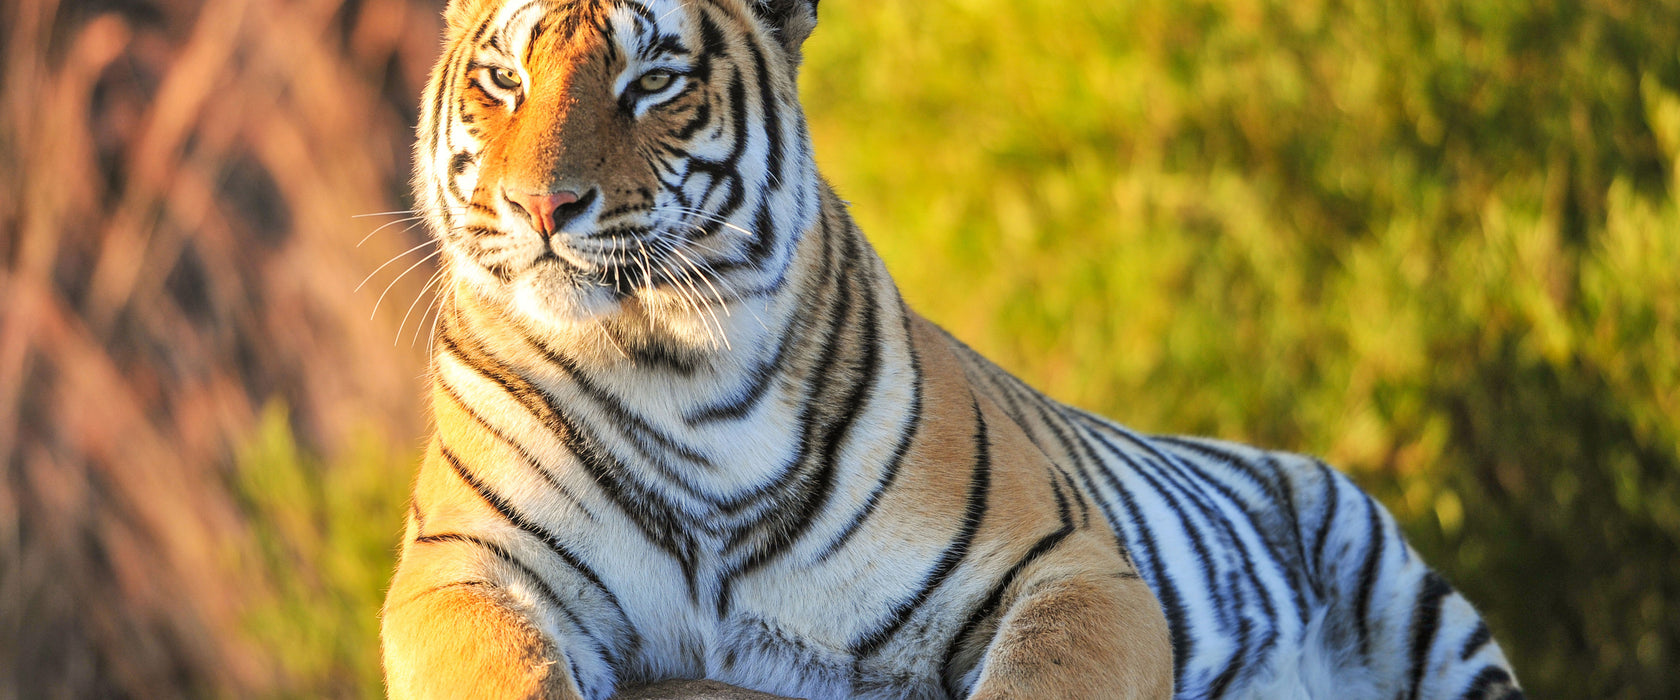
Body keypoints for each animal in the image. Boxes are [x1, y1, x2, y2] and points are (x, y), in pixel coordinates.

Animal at [381, 1, 1525, 698]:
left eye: (652, 81)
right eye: (503, 80)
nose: (540, 206)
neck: (669, 367)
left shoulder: (1069, 568)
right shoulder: (460, 572)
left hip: (1408, 601)